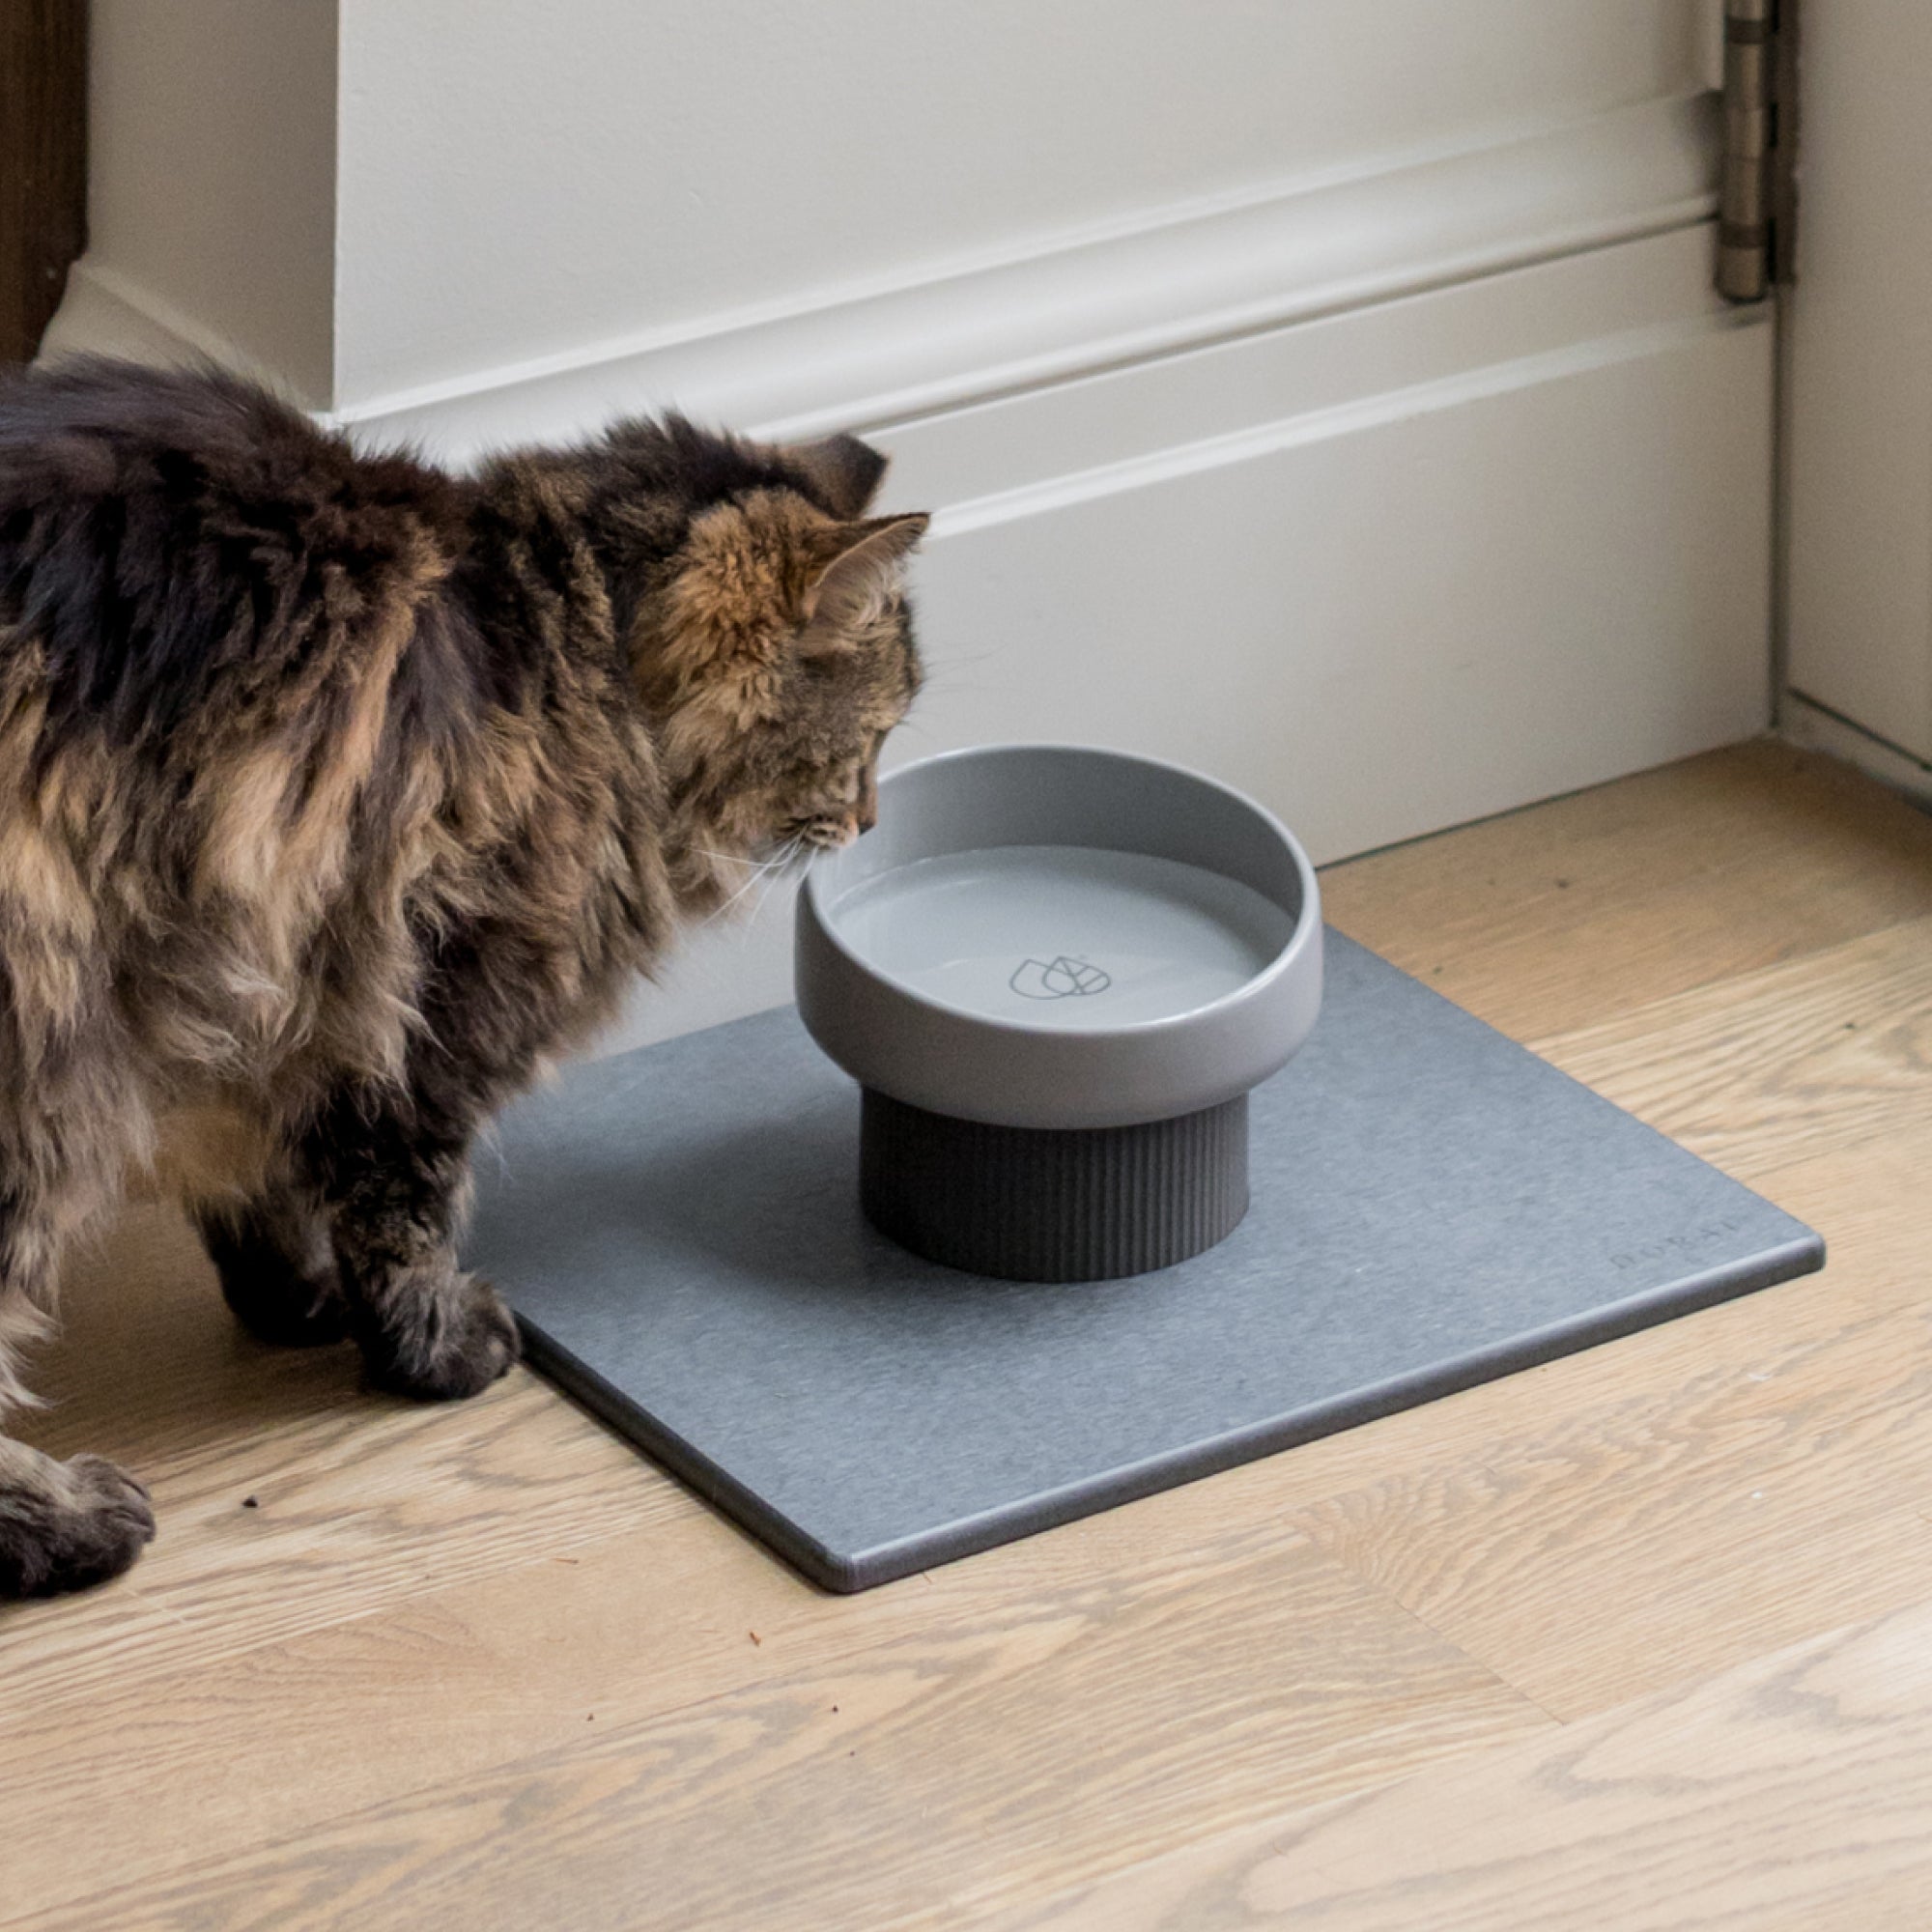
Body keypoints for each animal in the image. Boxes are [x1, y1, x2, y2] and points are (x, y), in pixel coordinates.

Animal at [0, 355, 927, 1592]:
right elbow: (406, 1209)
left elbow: (264, 1174)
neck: (578, 648)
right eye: (870, 735)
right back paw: (73, 1524)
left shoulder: (268, 991)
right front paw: (434, 1346)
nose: (868, 817)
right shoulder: (433, 1001)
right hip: (45, 1055)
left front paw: (294, 1296)